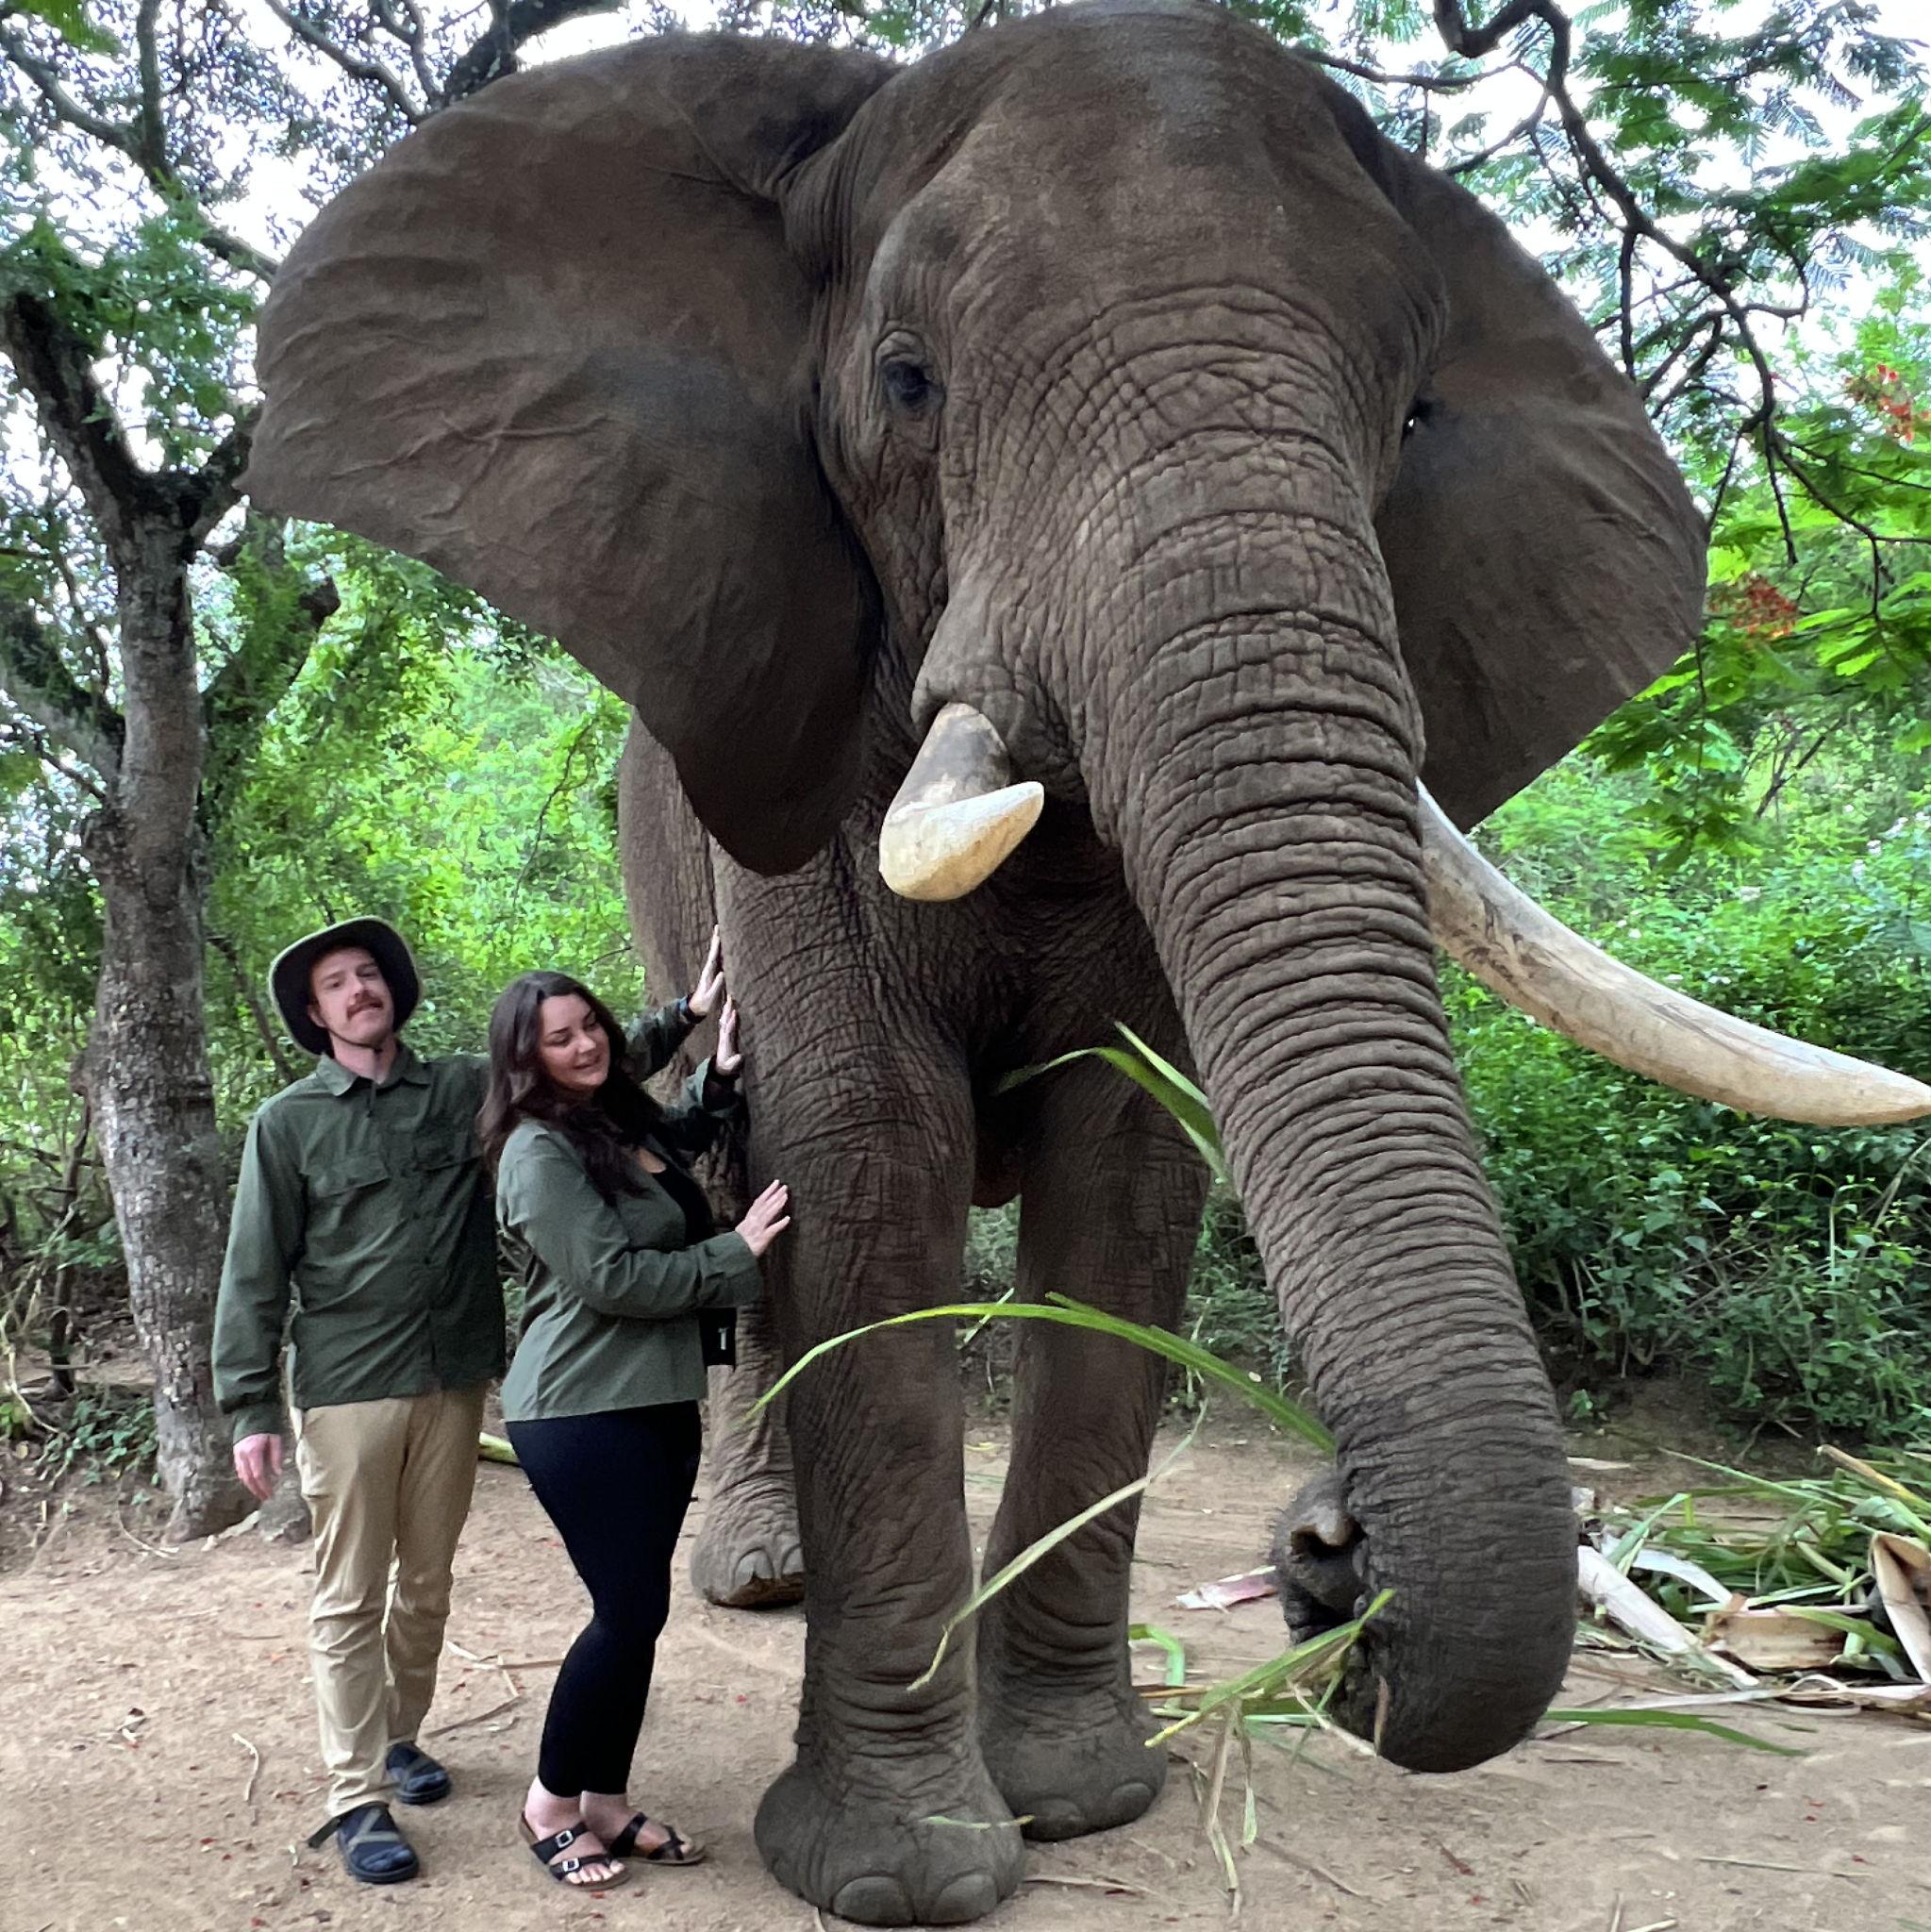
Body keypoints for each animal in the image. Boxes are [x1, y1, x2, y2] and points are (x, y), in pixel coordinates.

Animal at [245, 4, 1931, 1921]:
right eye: (905, 380)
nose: (1329, 1546)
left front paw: (1072, 1802)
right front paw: (901, 1869)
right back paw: (757, 1576)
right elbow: (866, 1158)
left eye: (1407, 416)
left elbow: (1122, 1174)